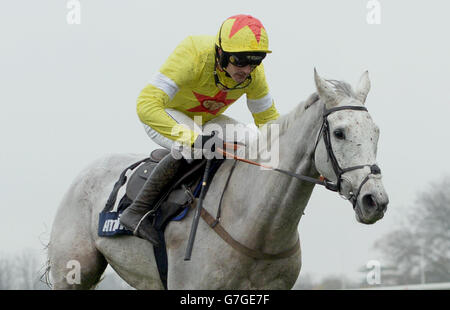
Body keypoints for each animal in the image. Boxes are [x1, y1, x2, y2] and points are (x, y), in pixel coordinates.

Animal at [46, 69, 390, 288]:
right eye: (340, 132)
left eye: (376, 132)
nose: (376, 200)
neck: (258, 227)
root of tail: (88, 170)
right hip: (73, 271)